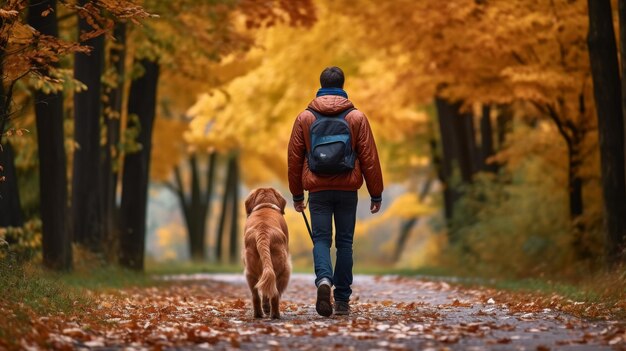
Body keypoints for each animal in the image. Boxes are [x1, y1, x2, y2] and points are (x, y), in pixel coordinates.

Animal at [244, 188, 292, 320]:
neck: (265, 205)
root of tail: (263, 231)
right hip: (284, 269)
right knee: (275, 294)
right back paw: (275, 314)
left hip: (249, 270)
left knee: (256, 295)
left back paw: (259, 314)